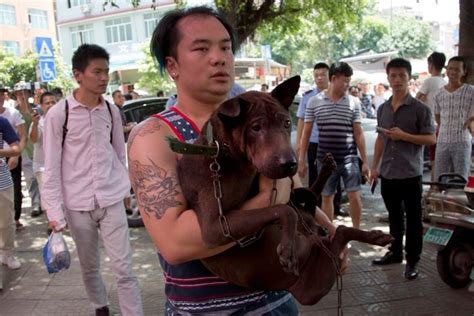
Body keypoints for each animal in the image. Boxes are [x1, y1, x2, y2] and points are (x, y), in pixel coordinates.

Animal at [172, 75, 390, 304]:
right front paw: (287, 249)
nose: (291, 164)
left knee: (329, 218)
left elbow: (285, 205)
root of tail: (318, 239)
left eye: (286, 123)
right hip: (313, 287)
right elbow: (282, 210)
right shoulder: (215, 227)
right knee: (339, 232)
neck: (222, 152)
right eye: (255, 127)